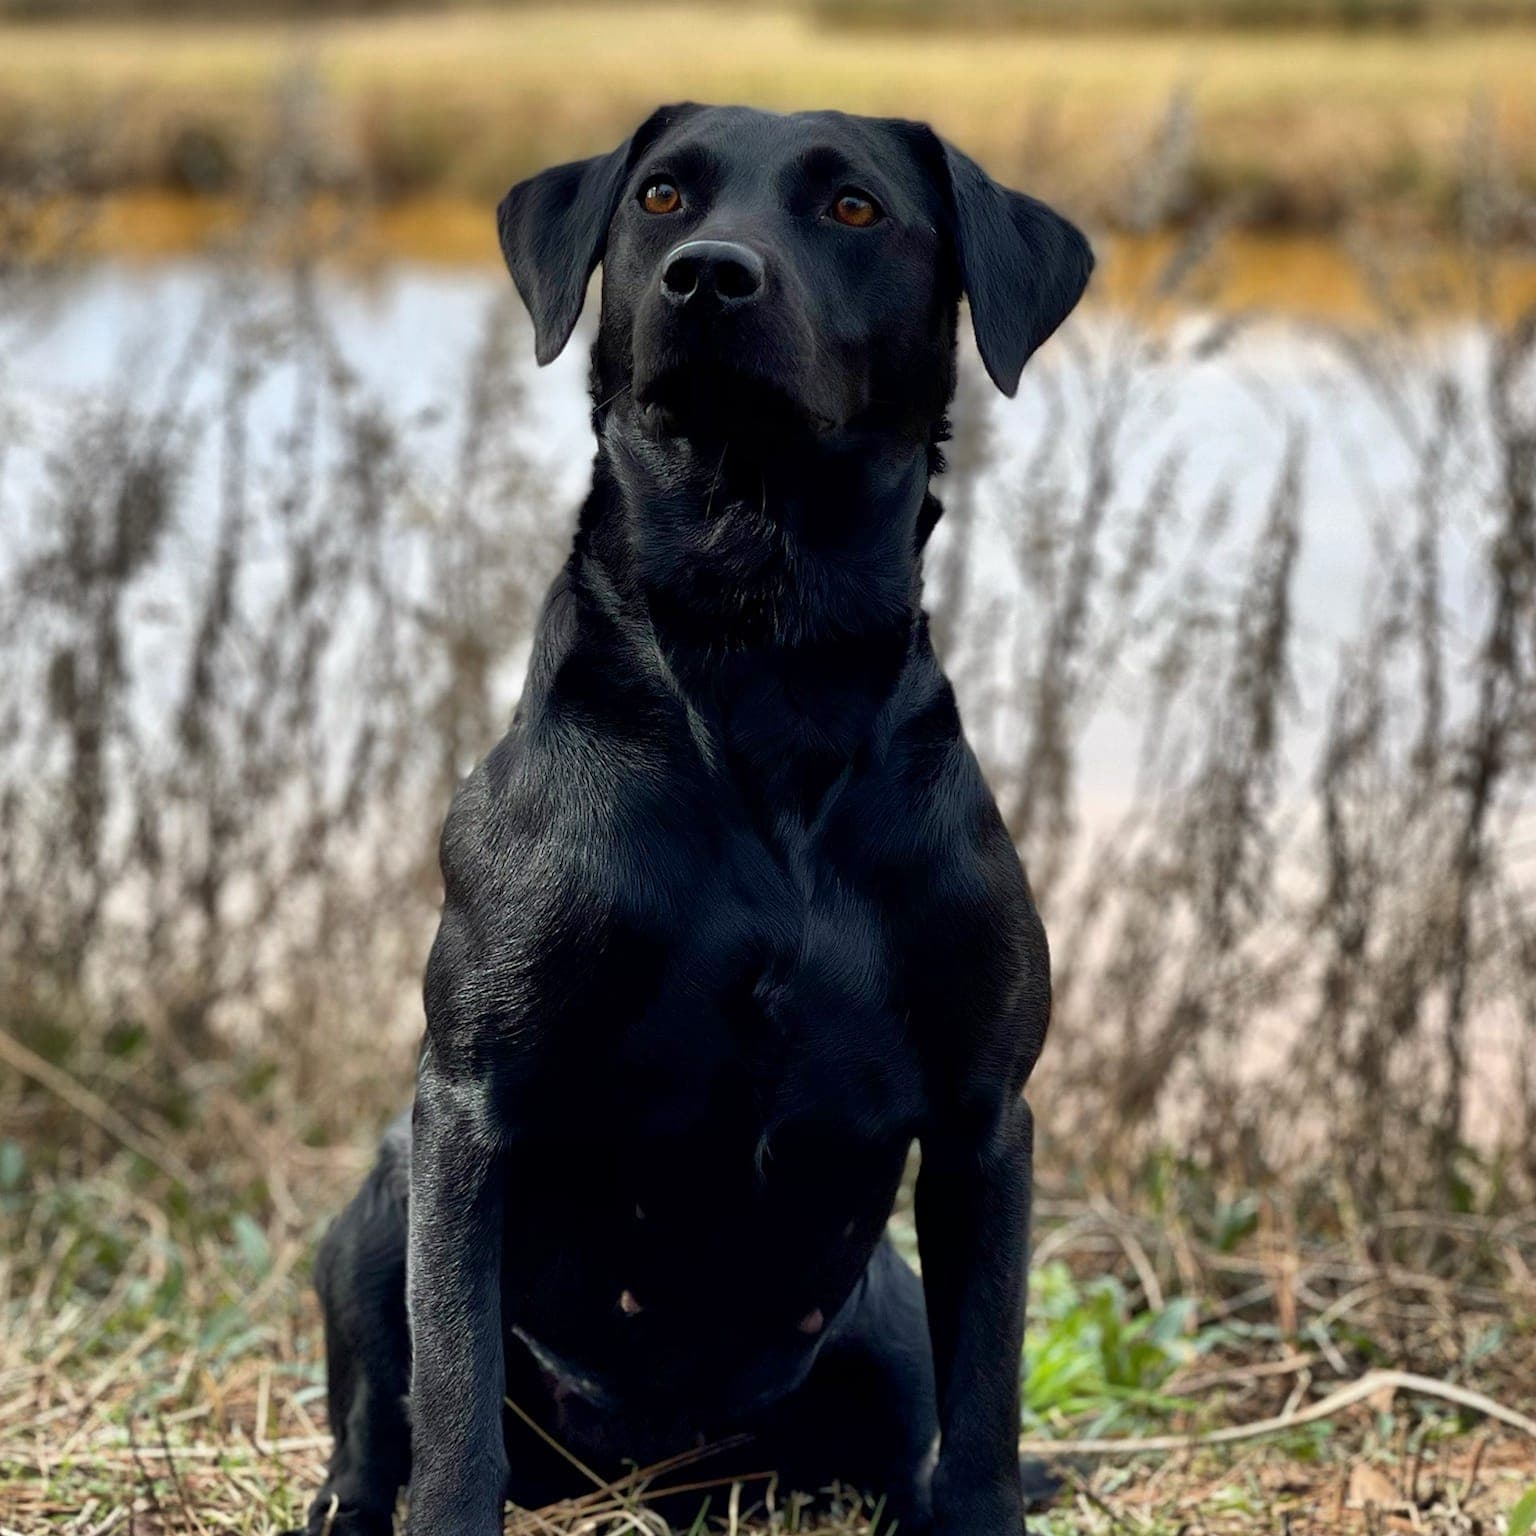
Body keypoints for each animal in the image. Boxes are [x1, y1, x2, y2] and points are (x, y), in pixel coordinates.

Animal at [296, 105, 1093, 1536]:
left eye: (853, 208)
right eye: (661, 197)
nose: (709, 276)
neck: (758, 637)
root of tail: (651, 1474)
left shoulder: (985, 1125)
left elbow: (988, 1408)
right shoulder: (470, 1102)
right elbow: (452, 1403)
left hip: (884, 1322)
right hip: (381, 1207)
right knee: (382, 1415)